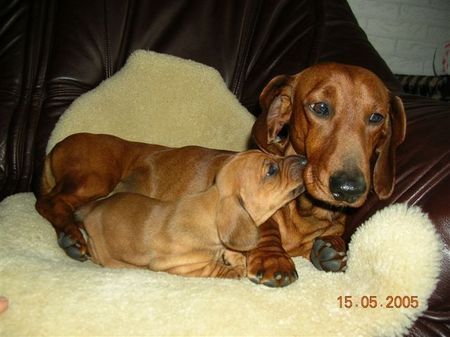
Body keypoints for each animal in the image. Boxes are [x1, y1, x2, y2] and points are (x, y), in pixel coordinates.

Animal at [74, 151, 306, 276]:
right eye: (271, 170)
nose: (304, 159)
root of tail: (91, 210)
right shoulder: (183, 266)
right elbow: (215, 269)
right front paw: (235, 270)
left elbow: (232, 251)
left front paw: (237, 259)